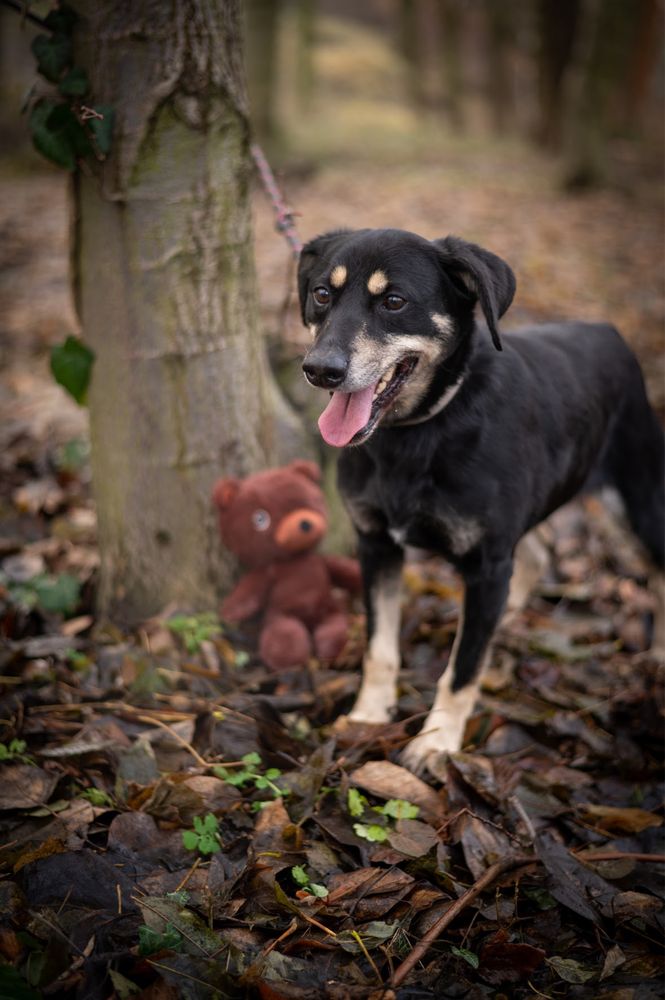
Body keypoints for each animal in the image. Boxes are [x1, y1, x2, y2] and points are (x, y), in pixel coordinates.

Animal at [300, 230, 664, 776]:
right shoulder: (377, 543)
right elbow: (379, 647)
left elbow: (463, 670)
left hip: (637, 500)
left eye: (394, 301)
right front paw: (368, 715)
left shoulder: (487, 561)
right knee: (537, 554)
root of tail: (608, 330)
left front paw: (436, 743)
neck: (421, 429)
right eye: (323, 293)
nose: (320, 370)